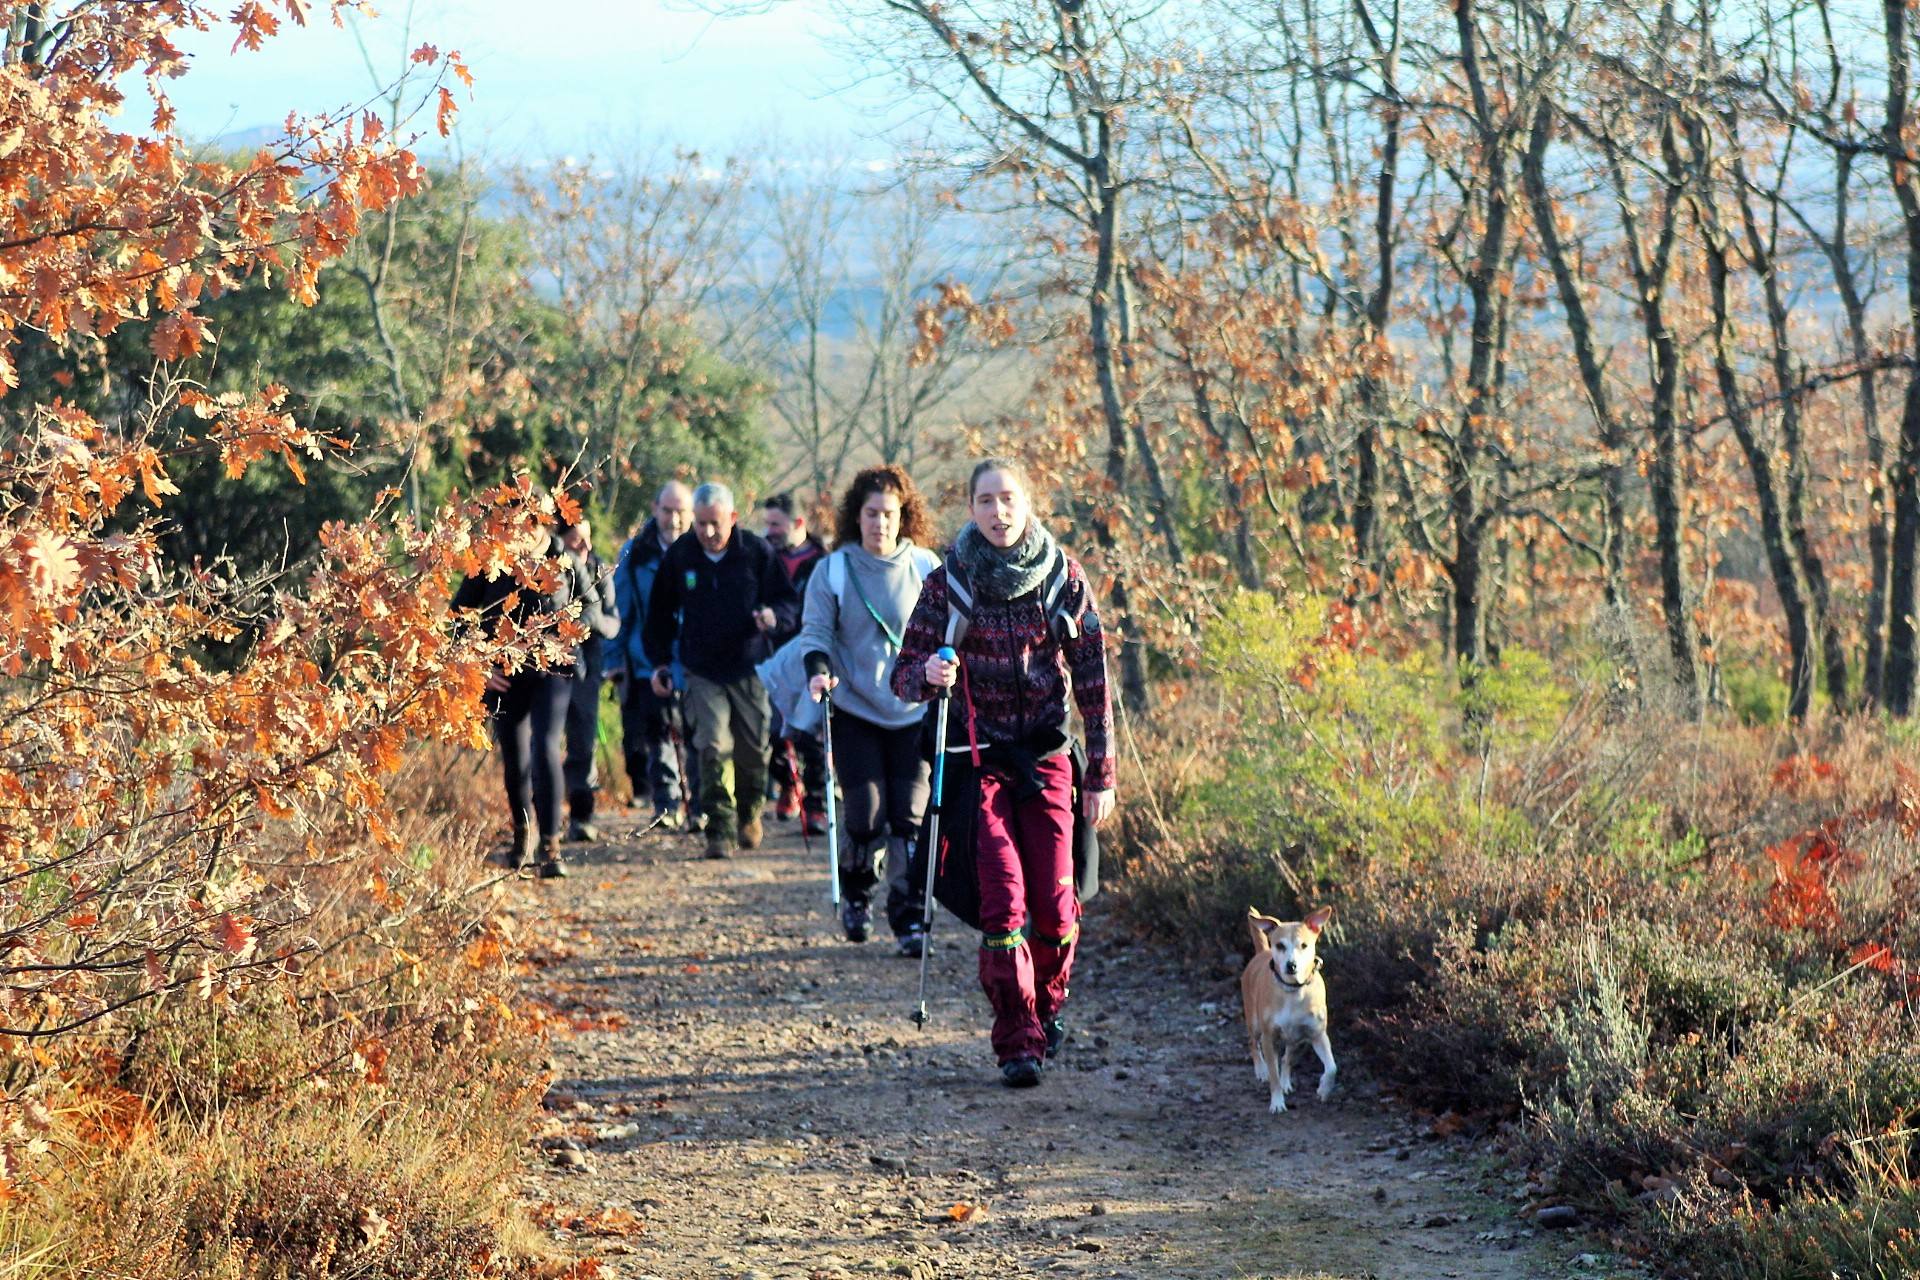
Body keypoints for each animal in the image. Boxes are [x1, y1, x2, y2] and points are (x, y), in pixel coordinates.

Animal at [1244, 905, 1336, 1113]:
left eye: (1304, 945)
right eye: (1280, 945)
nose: (1291, 965)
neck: (1293, 991)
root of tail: (1262, 952)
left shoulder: (1318, 1034)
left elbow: (1332, 1068)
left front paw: (1324, 1089)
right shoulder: (1269, 1038)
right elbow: (1273, 1074)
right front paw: (1277, 1102)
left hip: (1297, 1040)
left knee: (1288, 1058)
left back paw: (1286, 1082)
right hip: (1254, 1021)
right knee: (1253, 1043)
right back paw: (1261, 1070)